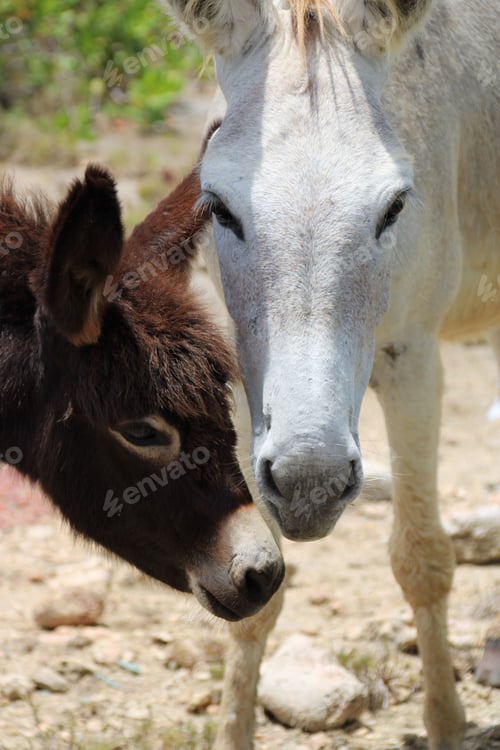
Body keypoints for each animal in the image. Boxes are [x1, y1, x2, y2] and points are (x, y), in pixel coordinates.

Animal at [160, 0, 499, 747]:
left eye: (396, 206)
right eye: (218, 206)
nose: (311, 484)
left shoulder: (413, 359)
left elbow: (422, 559)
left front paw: (447, 723)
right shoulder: (240, 379)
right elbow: (257, 586)